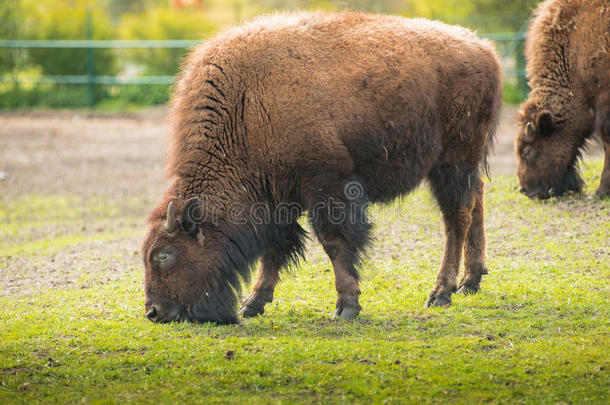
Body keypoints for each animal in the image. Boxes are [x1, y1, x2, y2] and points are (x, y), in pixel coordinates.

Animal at [140, 11, 502, 324]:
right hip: (463, 163)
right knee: (476, 201)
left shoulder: (326, 185)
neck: (246, 106)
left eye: (164, 255)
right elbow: (275, 250)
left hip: (452, 162)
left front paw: (346, 306)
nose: (154, 312)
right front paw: (252, 304)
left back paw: (441, 293)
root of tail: (483, 48)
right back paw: (471, 281)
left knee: (456, 219)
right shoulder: (277, 198)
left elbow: (334, 242)